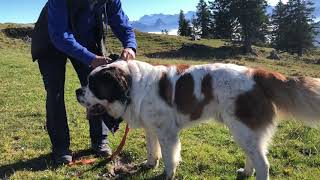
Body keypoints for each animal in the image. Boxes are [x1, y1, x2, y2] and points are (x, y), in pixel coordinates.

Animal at [77, 59, 320, 179]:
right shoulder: (152, 128)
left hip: (242, 128)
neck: (134, 86)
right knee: (253, 156)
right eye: (87, 82)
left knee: (263, 164)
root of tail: (257, 74)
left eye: (93, 85)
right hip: (245, 132)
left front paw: (167, 174)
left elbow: (169, 157)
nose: (78, 91)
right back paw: (245, 172)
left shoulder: (167, 133)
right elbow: (152, 149)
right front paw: (149, 164)